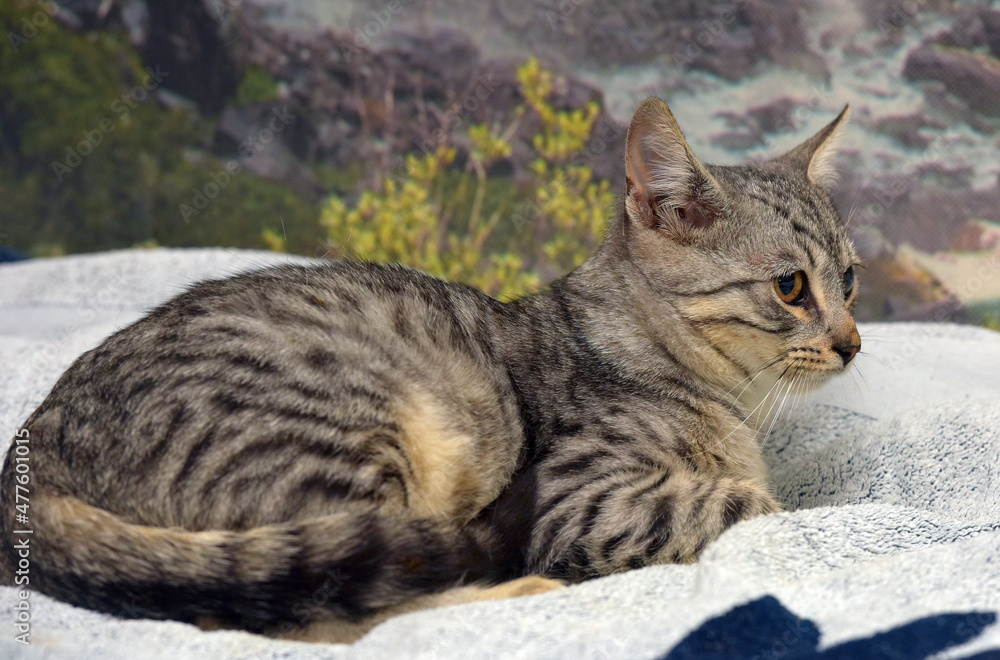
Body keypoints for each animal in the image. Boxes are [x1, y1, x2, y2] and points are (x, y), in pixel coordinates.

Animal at [0, 95, 860, 640]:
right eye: (791, 287)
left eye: (849, 279)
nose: (853, 341)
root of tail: (30, 458)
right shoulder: (582, 500)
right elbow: (752, 507)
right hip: (350, 439)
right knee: (315, 614)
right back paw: (513, 592)